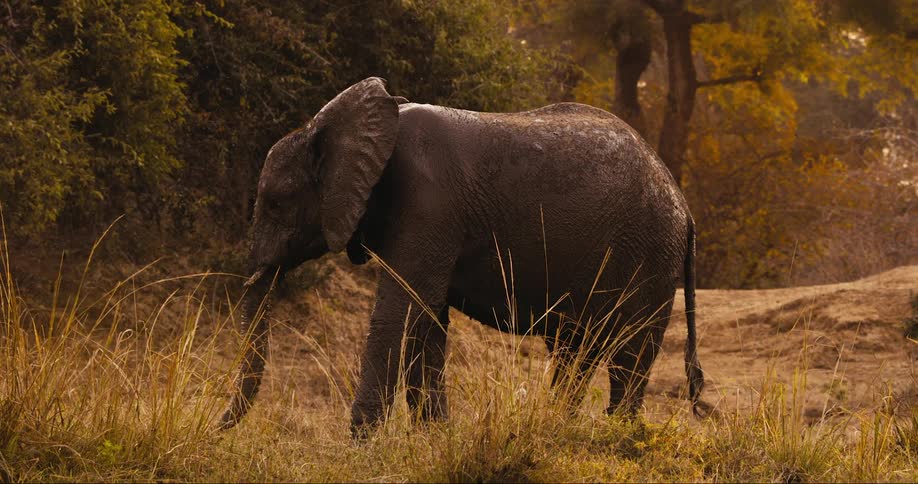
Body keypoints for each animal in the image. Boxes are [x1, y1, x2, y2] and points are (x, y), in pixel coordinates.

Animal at [219, 77, 704, 433]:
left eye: (275, 202)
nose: (219, 426)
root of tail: (683, 205)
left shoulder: (428, 206)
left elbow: (398, 314)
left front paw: (359, 443)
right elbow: (427, 321)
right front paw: (433, 437)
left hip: (648, 254)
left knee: (627, 353)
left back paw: (617, 436)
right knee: (576, 349)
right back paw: (561, 426)